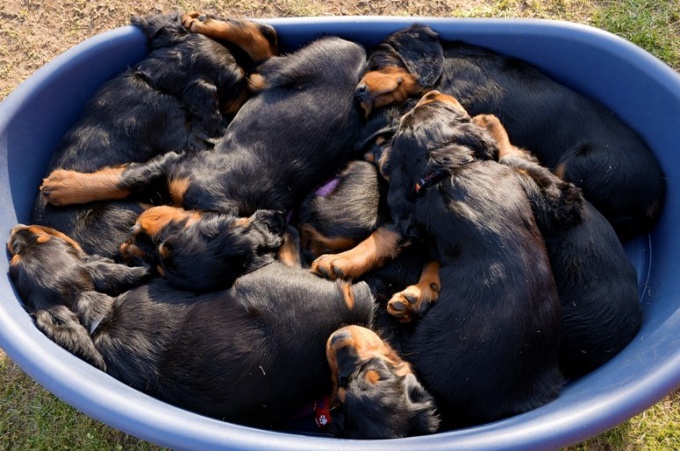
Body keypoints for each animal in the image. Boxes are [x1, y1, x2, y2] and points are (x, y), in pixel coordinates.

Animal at [7, 224, 374, 430]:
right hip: (263, 278)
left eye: (35, 241)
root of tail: (349, 309)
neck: (100, 315)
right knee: (288, 256)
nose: (13, 234)